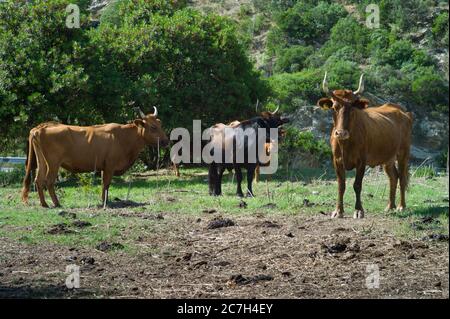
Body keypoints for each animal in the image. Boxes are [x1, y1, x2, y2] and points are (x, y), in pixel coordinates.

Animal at [21, 107, 169, 209]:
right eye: (153, 127)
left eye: (160, 124)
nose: (166, 141)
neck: (123, 137)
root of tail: (41, 127)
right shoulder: (110, 165)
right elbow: (106, 183)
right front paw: (105, 202)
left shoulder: (104, 166)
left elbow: (105, 184)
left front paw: (105, 200)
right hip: (53, 163)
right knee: (49, 181)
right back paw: (57, 203)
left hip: (42, 162)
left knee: (38, 180)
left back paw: (44, 204)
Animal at [318, 73, 414, 219]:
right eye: (334, 107)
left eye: (352, 107)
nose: (341, 133)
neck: (345, 144)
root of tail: (402, 111)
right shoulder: (336, 160)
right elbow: (341, 185)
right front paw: (338, 211)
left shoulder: (361, 161)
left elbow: (357, 185)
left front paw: (358, 210)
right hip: (388, 158)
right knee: (393, 177)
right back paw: (390, 206)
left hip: (403, 152)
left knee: (402, 177)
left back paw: (401, 206)